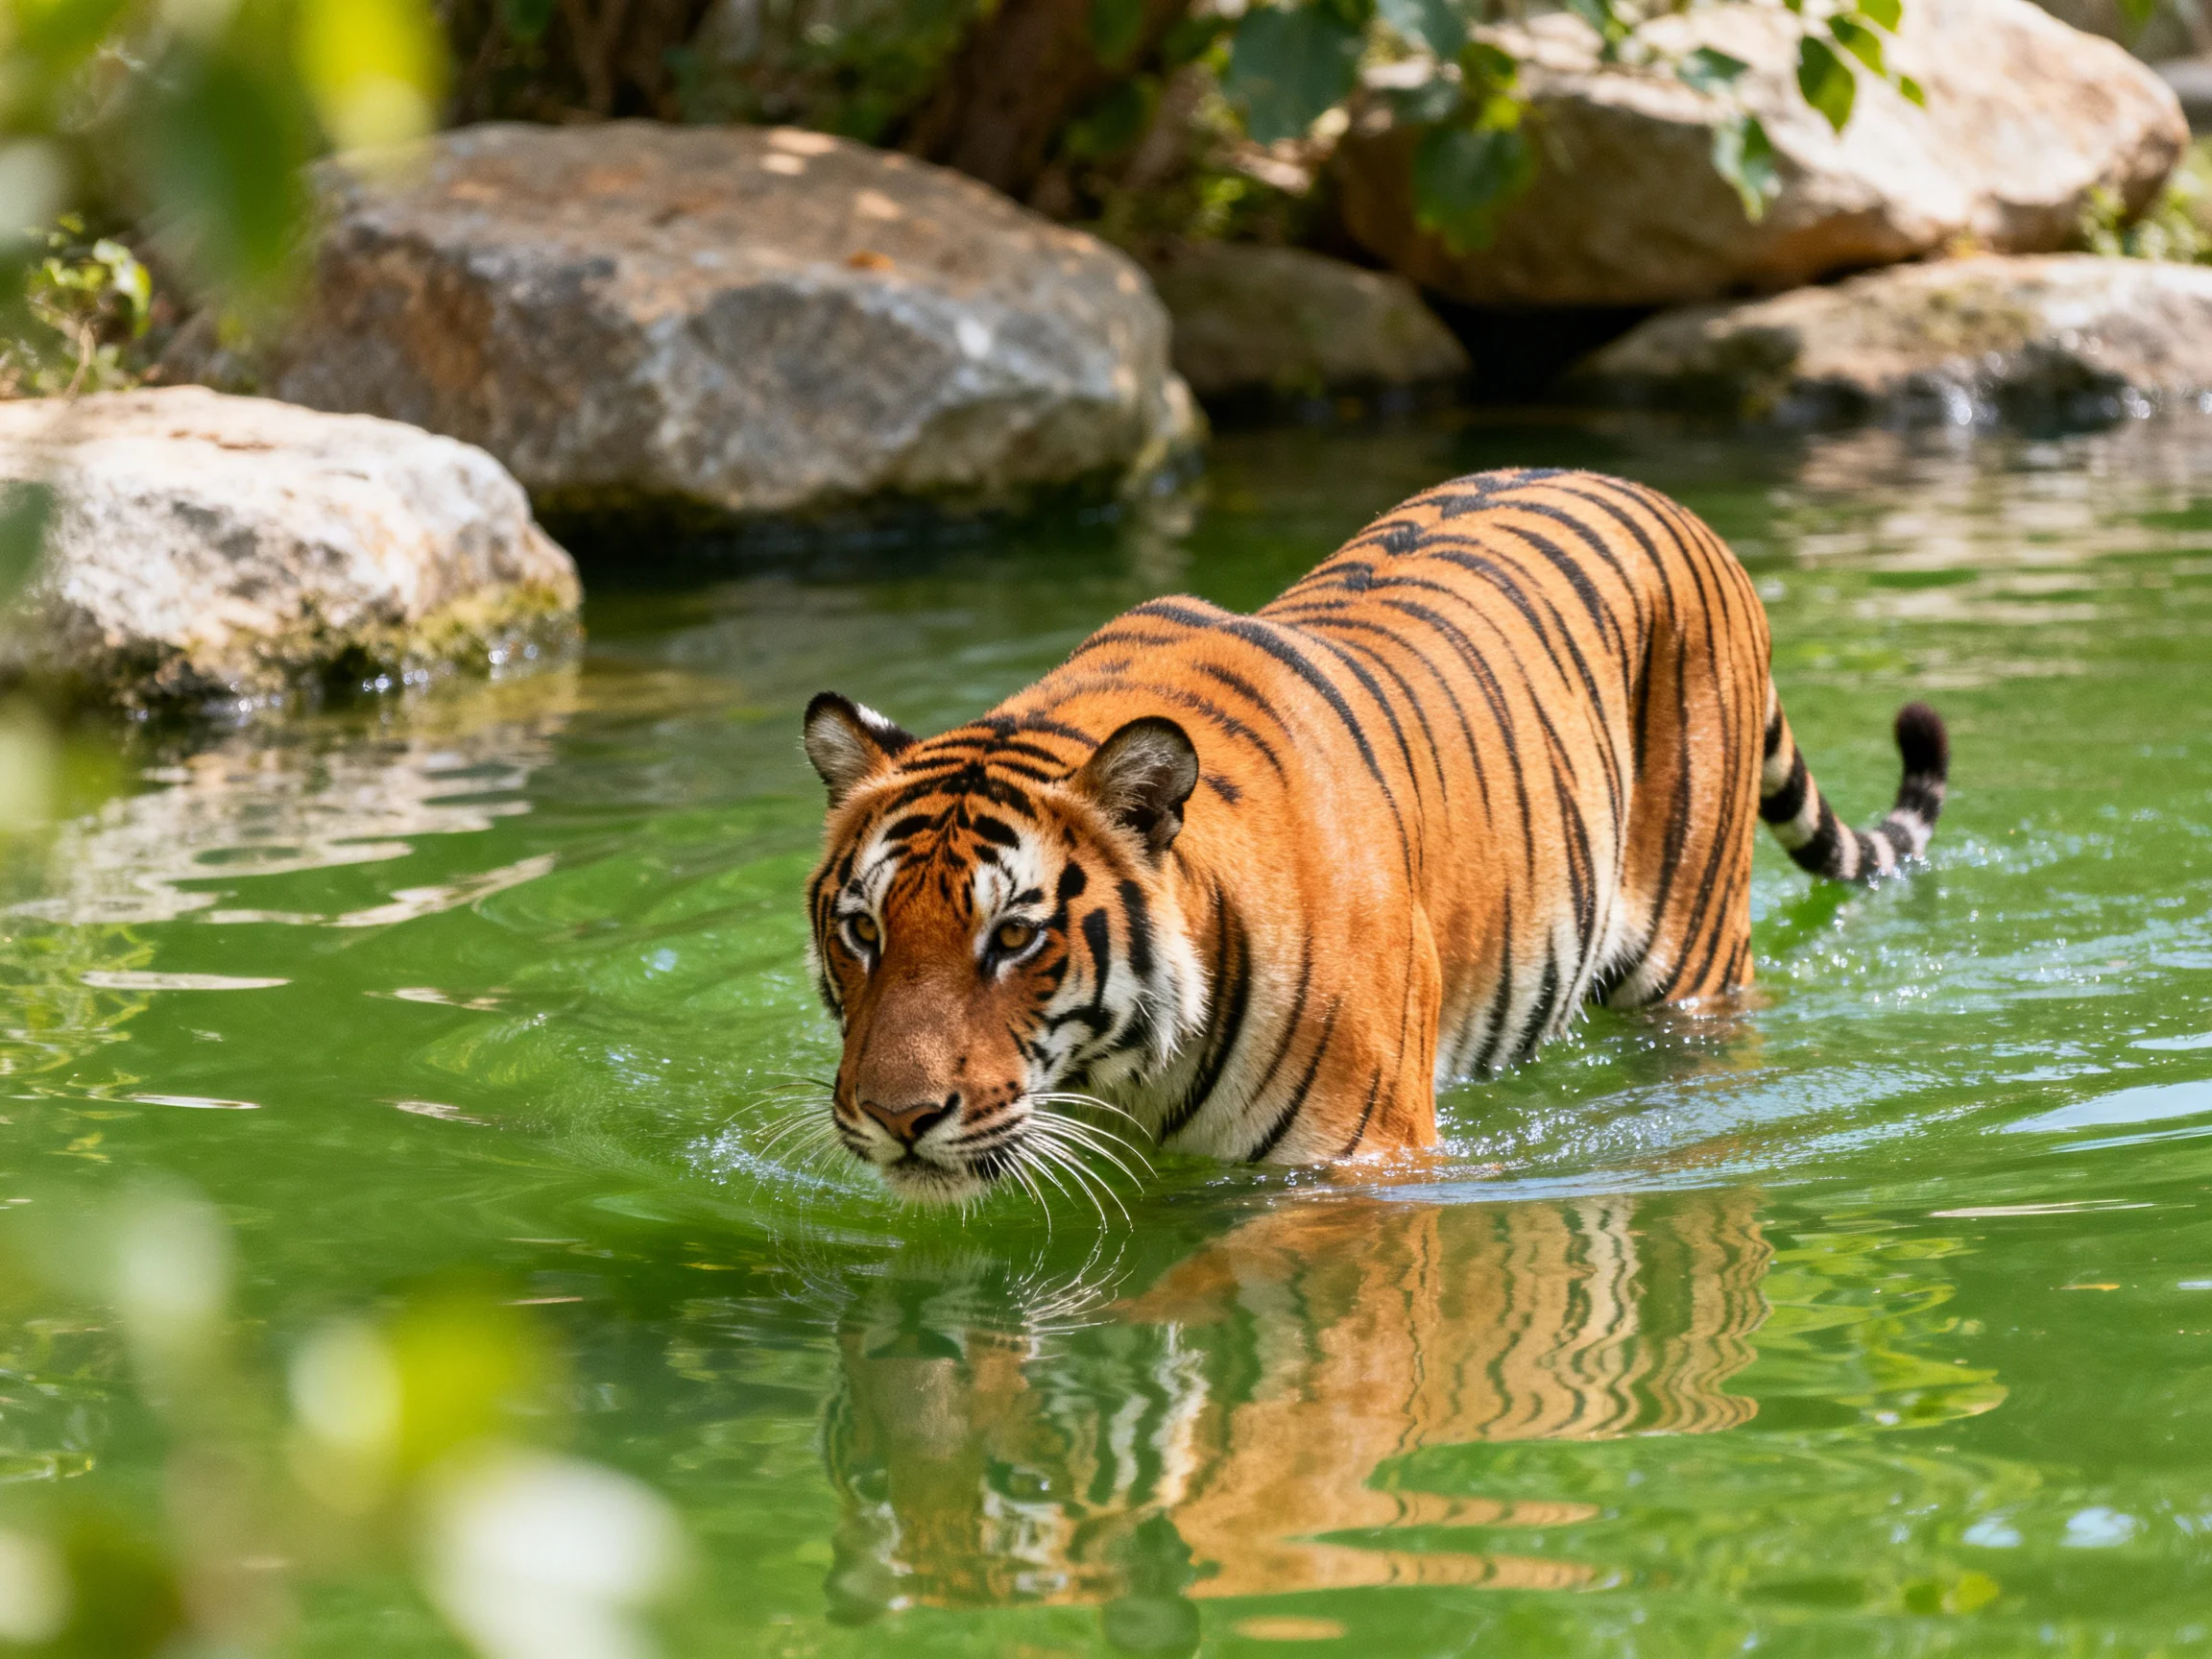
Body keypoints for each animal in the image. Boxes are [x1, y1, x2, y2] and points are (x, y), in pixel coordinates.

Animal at [801, 466, 1949, 1204]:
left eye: (1014, 938)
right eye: (863, 933)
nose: (899, 1117)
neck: (1123, 1074)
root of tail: (1660, 498)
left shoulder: (1356, 1167)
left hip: (1694, 959)